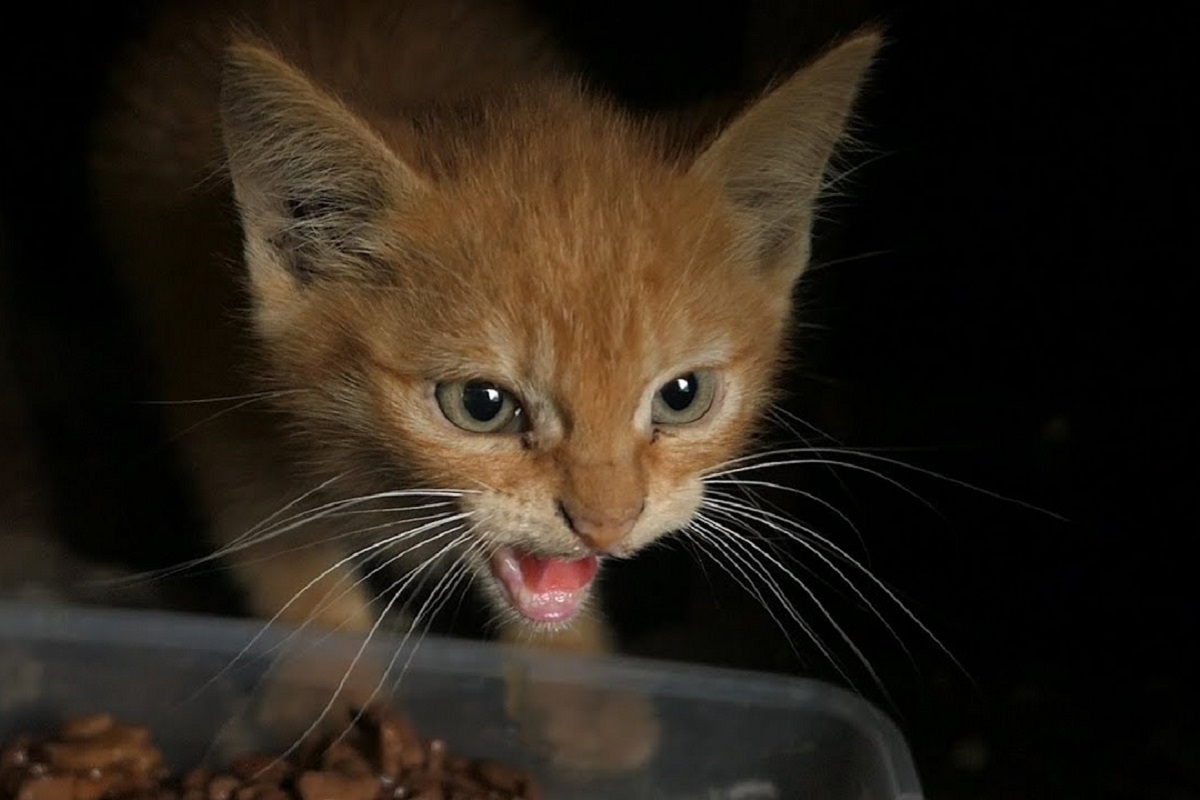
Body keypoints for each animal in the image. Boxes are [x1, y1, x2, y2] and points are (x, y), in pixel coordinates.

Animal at [91, 0, 883, 777]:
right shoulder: (212, 387)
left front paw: (578, 687)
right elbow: (281, 554)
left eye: (682, 395)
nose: (607, 523)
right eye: (482, 405)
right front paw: (330, 695)